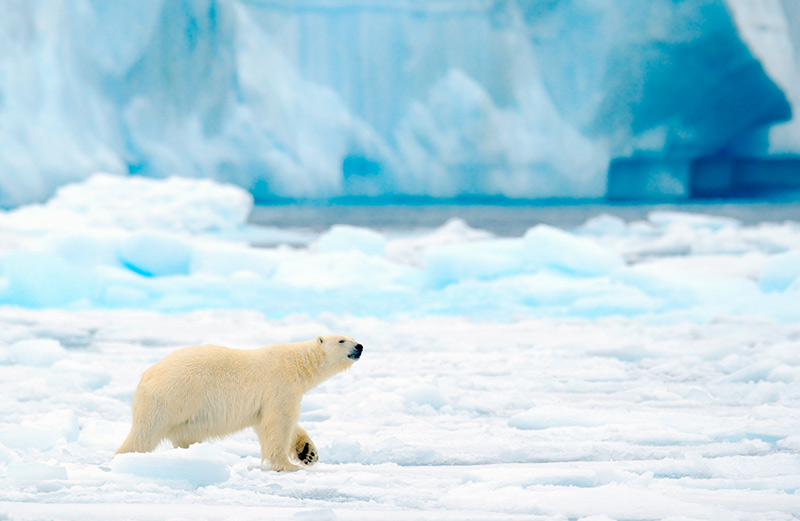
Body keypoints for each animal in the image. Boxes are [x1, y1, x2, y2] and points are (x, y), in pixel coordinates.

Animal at [114, 334, 364, 472]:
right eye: (342, 340)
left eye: (353, 337)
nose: (359, 346)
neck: (295, 364)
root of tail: (145, 376)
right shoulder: (279, 386)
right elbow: (279, 423)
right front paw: (286, 465)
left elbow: (273, 423)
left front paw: (307, 453)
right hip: (171, 397)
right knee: (145, 433)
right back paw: (124, 458)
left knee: (185, 436)